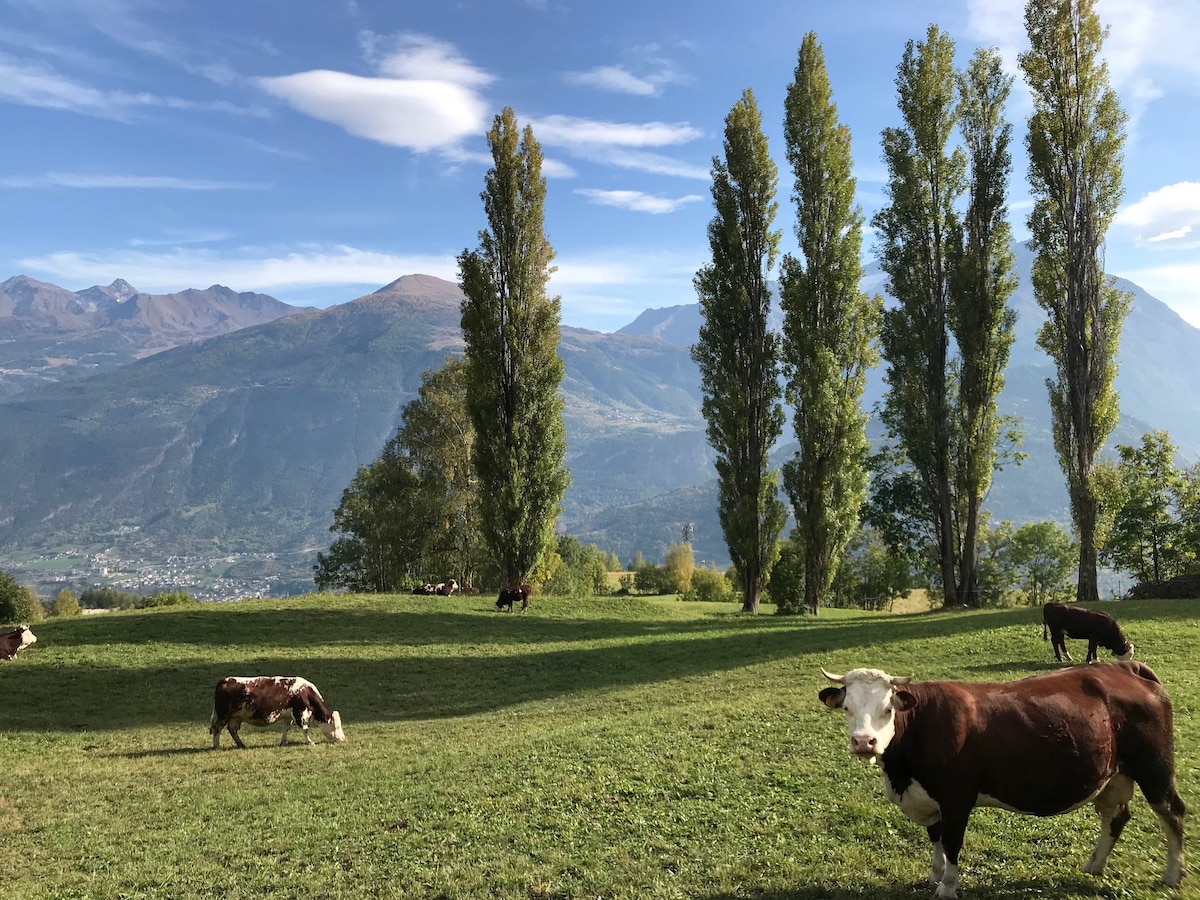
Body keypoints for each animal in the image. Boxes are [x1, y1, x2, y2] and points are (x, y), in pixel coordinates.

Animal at [206, 681, 345, 748]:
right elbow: (305, 729)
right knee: (217, 729)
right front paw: (310, 742)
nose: (343, 739)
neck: (305, 691)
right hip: (222, 715)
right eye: (336, 726)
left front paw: (283, 742)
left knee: (232, 730)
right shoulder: (300, 713)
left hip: (235, 717)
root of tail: (224, 681)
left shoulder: (288, 716)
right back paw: (216, 746)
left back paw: (241, 744)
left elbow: (286, 728)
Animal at [820, 667, 1185, 897]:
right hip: (1112, 776)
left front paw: (948, 887)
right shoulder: (929, 798)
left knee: (1172, 813)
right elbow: (936, 838)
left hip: (1155, 768)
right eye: (847, 708)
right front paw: (934, 875)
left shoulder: (957, 798)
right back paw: (1093, 866)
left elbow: (951, 842)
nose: (864, 742)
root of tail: (1127, 669)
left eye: (887, 709)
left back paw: (1173, 875)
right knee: (1116, 816)